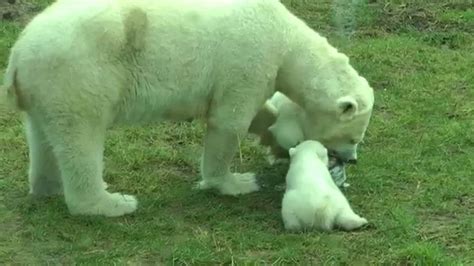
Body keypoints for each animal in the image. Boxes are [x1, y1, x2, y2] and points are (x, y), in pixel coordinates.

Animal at [2, 0, 374, 216]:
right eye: (353, 137)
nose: (353, 159)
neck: (285, 36)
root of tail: (18, 55)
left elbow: (260, 114)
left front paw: (279, 146)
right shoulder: (248, 60)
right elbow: (229, 121)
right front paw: (236, 182)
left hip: (47, 89)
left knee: (45, 136)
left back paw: (46, 186)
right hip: (78, 76)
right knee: (82, 138)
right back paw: (112, 203)